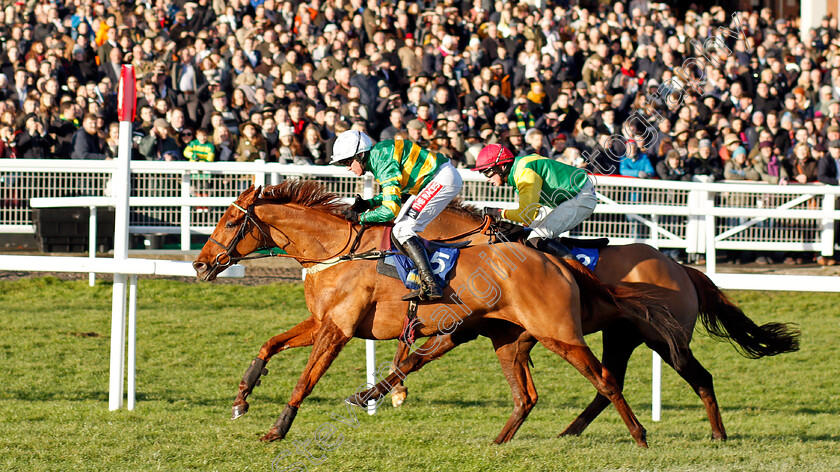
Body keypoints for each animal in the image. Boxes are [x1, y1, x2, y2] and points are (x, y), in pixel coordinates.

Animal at [192, 181, 684, 446]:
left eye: (231, 222)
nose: (200, 264)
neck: (336, 251)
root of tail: (555, 260)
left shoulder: (339, 330)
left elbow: (305, 380)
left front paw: (278, 429)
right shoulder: (321, 322)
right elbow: (268, 345)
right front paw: (242, 397)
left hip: (559, 334)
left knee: (605, 380)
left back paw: (640, 436)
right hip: (509, 339)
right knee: (526, 396)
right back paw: (498, 442)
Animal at [354, 203, 800, 442]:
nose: (378, 255)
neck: (477, 251)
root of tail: (683, 269)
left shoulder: (469, 326)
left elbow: (417, 355)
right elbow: (413, 357)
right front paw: (378, 393)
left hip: (665, 339)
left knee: (696, 376)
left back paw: (717, 434)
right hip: (621, 335)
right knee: (609, 382)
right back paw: (572, 431)